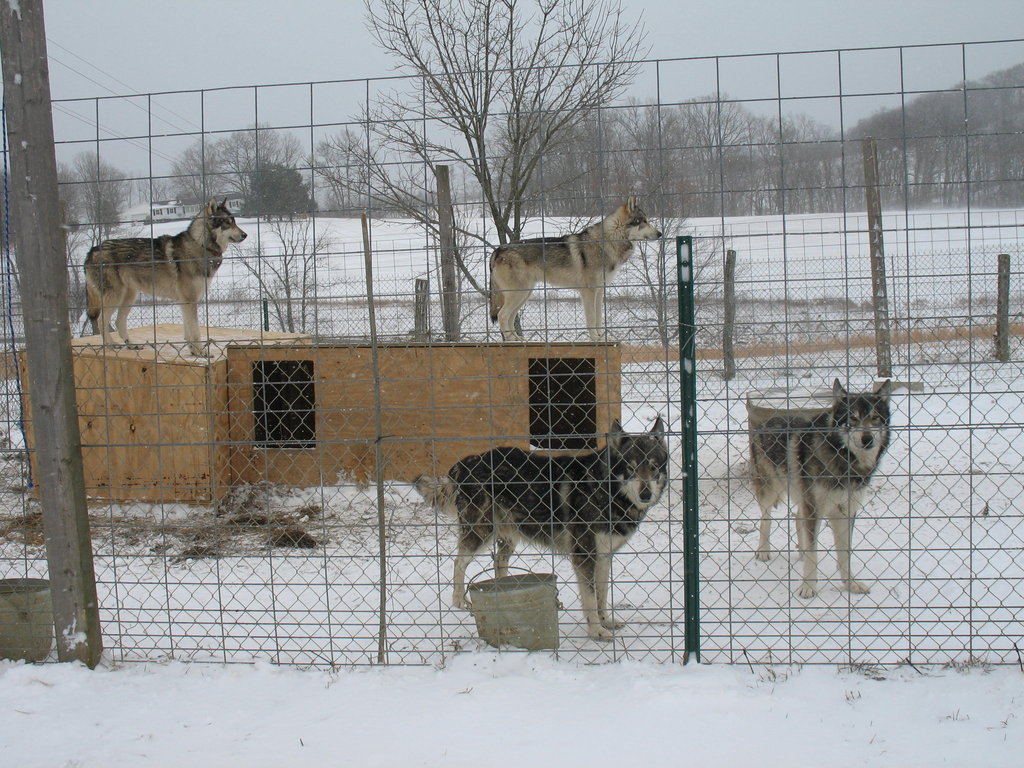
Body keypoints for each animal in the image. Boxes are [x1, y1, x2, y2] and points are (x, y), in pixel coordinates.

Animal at [84, 197, 247, 357]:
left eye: (234, 221)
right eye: (227, 223)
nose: (245, 235)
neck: (200, 245)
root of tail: (92, 250)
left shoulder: (185, 301)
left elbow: (188, 331)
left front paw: (193, 351)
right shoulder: (189, 299)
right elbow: (195, 331)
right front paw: (201, 353)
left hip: (129, 296)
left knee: (119, 321)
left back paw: (131, 345)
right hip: (115, 297)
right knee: (101, 320)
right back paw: (111, 345)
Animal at [416, 417, 668, 641]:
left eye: (654, 467)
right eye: (631, 468)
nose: (646, 495)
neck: (606, 490)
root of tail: (465, 463)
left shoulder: (604, 556)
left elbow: (601, 596)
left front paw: (605, 621)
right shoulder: (584, 556)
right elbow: (590, 598)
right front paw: (596, 631)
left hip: (508, 536)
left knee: (498, 562)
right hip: (481, 533)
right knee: (459, 562)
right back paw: (459, 600)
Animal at [489, 196, 662, 342]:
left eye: (647, 220)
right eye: (643, 221)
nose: (660, 233)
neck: (607, 243)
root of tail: (498, 250)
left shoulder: (599, 291)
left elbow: (599, 319)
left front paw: (603, 338)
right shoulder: (588, 292)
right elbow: (591, 319)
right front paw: (596, 339)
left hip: (524, 294)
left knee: (510, 317)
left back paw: (518, 340)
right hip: (519, 294)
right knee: (503, 315)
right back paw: (511, 340)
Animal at [751, 379, 893, 598]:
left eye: (875, 417)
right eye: (852, 418)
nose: (867, 439)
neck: (844, 461)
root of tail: (766, 422)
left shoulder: (845, 512)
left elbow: (845, 555)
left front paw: (851, 585)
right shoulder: (815, 509)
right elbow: (814, 553)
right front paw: (808, 588)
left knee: (796, 517)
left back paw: (800, 551)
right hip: (771, 490)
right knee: (765, 519)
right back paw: (764, 550)